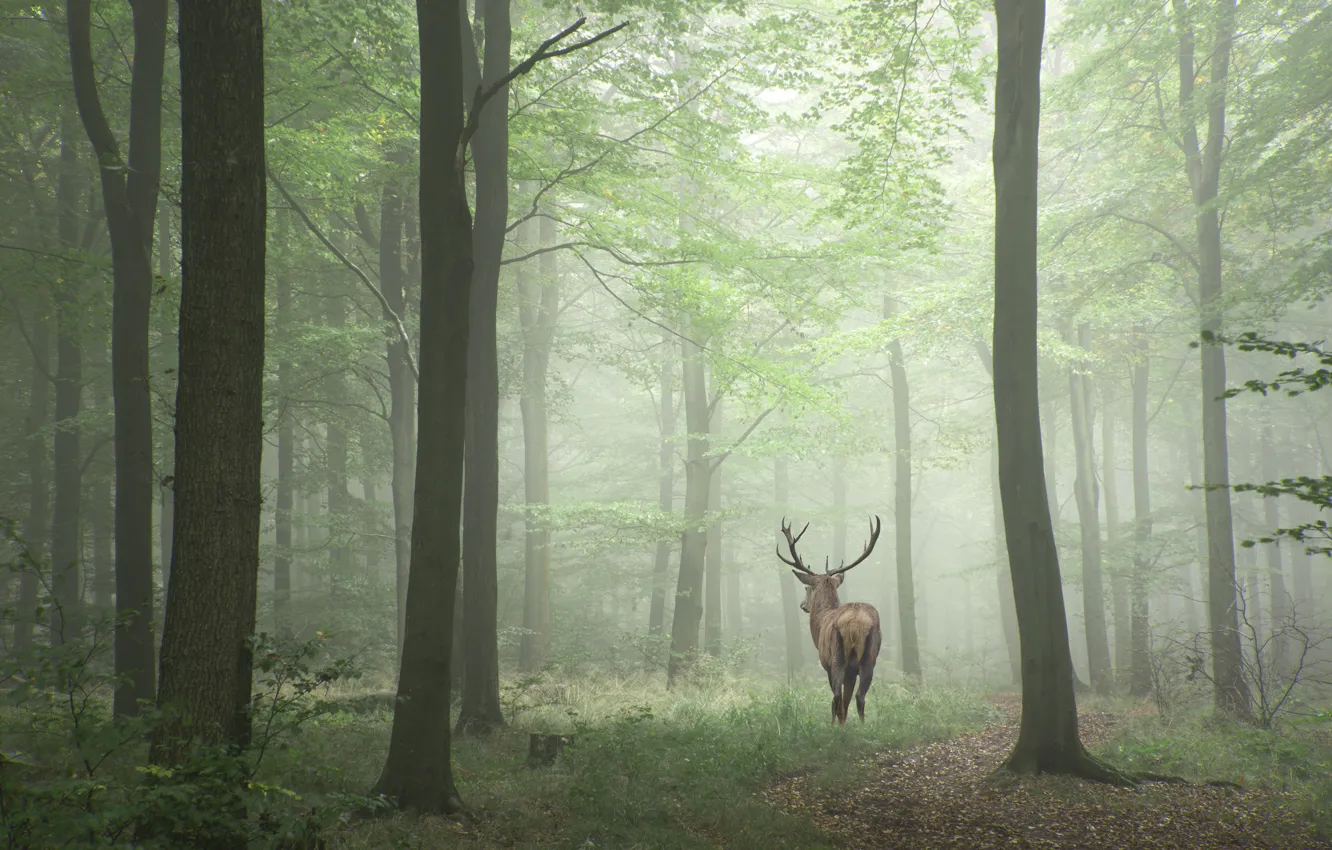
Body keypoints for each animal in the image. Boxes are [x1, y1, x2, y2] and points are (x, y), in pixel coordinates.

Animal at [777, 516, 883, 726]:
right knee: (859, 697)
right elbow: (847, 701)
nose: (803, 605)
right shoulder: (852, 671)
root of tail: (855, 625)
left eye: (807, 588)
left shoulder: (825, 661)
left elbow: (838, 700)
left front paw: (838, 726)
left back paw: (834, 728)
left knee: (836, 697)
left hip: (837, 656)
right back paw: (862, 727)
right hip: (870, 656)